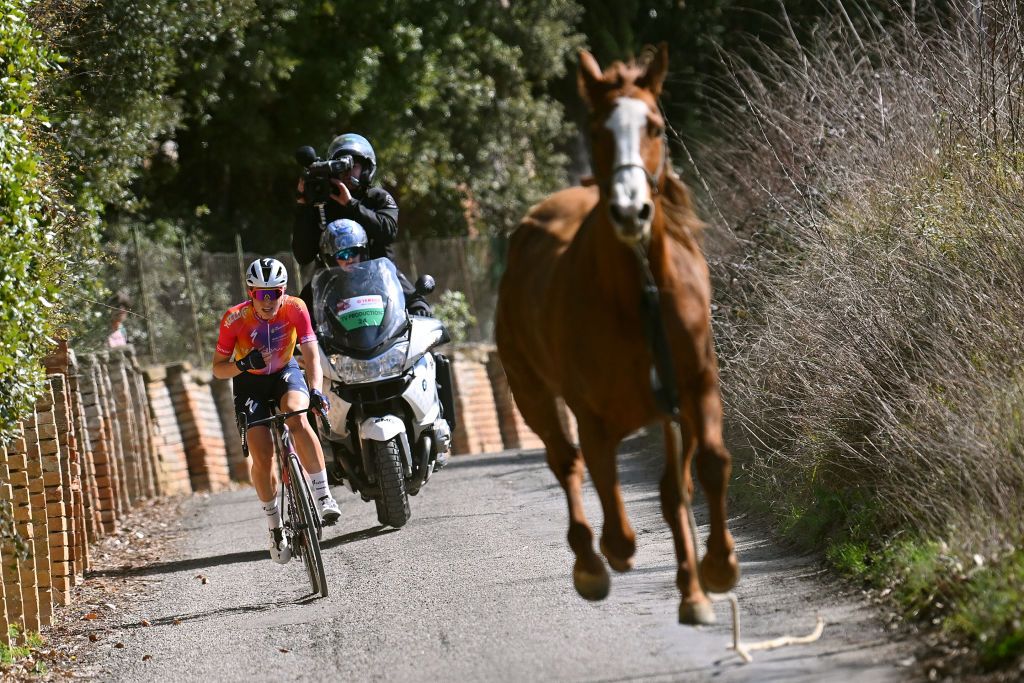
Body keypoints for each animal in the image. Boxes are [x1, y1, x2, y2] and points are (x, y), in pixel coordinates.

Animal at [493, 46, 737, 626]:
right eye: (597, 129)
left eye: (654, 126)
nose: (631, 210)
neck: (637, 293)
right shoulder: (594, 416)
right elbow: (610, 498)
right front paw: (614, 556)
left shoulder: (694, 389)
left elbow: (703, 471)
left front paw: (714, 573)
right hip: (532, 394)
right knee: (566, 463)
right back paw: (591, 564)